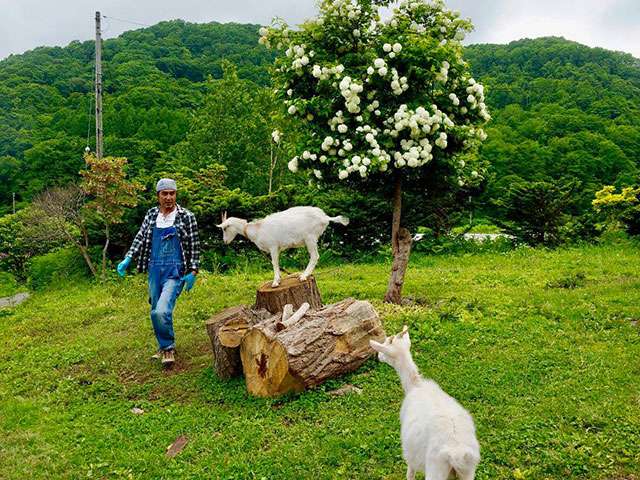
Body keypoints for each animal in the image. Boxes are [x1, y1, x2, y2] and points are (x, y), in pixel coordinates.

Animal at [216, 205, 348, 286]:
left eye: (224, 228)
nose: (225, 241)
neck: (257, 230)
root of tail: (325, 217)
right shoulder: (277, 248)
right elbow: (277, 263)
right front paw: (279, 278)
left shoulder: (273, 246)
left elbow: (274, 263)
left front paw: (275, 282)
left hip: (310, 238)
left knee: (315, 256)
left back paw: (303, 276)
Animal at [370, 326, 480, 480]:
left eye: (386, 343)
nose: (378, 356)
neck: (415, 385)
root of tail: (457, 454)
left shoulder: (410, 453)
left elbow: (410, 473)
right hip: (468, 473)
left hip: (435, 469)